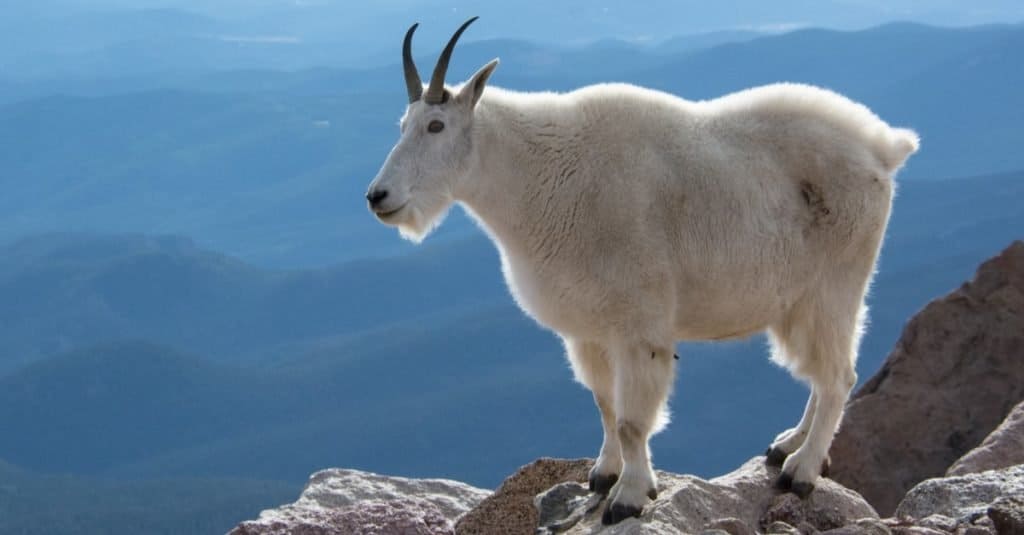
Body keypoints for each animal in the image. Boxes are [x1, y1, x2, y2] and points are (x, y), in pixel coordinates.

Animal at [366, 18, 921, 522]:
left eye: (436, 126)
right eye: (401, 126)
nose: (379, 197)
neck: (538, 177)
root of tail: (883, 149)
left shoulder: (639, 326)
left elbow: (634, 420)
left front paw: (628, 498)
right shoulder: (589, 329)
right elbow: (605, 405)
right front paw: (603, 475)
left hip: (835, 286)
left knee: (839, 376)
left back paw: (801, 472)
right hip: (800, 300)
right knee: (823, 375)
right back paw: (787, 445)